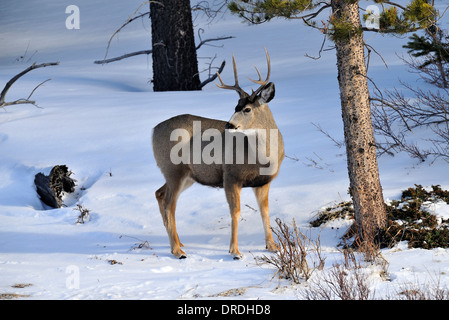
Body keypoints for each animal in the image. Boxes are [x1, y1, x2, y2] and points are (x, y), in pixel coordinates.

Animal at [151, 50, 284, 260]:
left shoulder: (263, 182)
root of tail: (153, 131)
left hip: (187, 175)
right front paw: (235, 251)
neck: (262, 158)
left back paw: (179, 244)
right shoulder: (230, 176)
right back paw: (178, 251)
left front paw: (272, 246)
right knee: (169, 204)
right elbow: (236, 212)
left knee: (159, 193)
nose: (229, 125)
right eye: (235, 106)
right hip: (173, 168)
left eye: (246, 109)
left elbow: (265, 211)